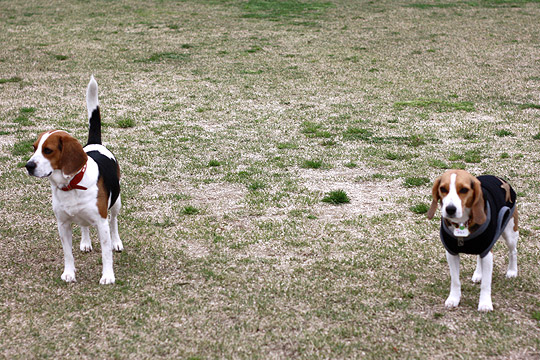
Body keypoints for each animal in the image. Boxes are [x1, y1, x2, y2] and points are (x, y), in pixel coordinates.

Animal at [26, 76, 122, 284]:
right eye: (34, 148)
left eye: (48, 150)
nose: (28, 166)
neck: (71, 185)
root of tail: (95, 143)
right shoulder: (62, 224)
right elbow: (67, 253)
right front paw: (69, 273)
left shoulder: (101, 223)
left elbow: (106, 253)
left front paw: (108, 276)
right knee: (84, 225)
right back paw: (85, 242)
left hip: (116, 202)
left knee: (114, 221)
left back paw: (117, 242)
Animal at [428, 170, 516, 310]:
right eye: (443, 189)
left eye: (464, 189)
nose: (450, 209)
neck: (462, 223)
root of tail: (498, 178)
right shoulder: (451, 253)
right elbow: (455, 281)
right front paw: (454, 299)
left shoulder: (488, 253)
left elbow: (486, 283)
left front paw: (485, 304)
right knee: (479, 257)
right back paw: (478, 274)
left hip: (510, 232)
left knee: (513, 252)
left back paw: (512, 271)